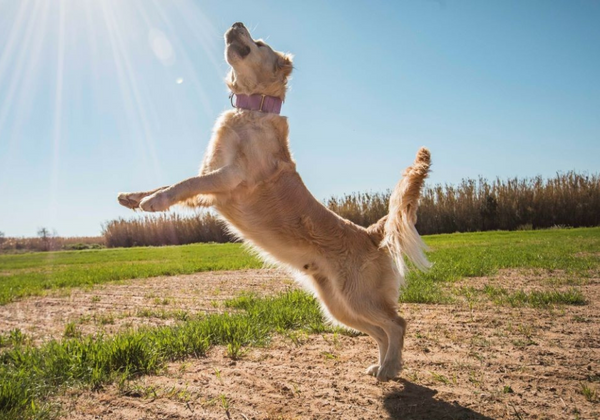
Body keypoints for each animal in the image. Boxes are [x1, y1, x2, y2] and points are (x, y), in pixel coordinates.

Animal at [119, 23, 432, 382]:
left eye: (258, 42)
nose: (236, 23)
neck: (251, 110)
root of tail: (370, 233)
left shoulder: (230, 177)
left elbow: (184, 182)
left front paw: (153, 202)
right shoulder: (211, 180)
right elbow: (172, 182)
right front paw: (133, 197)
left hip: (359, 298)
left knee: (398, 323)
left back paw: (391, 367)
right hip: (339, 306)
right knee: (381, 331)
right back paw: (380, 367)